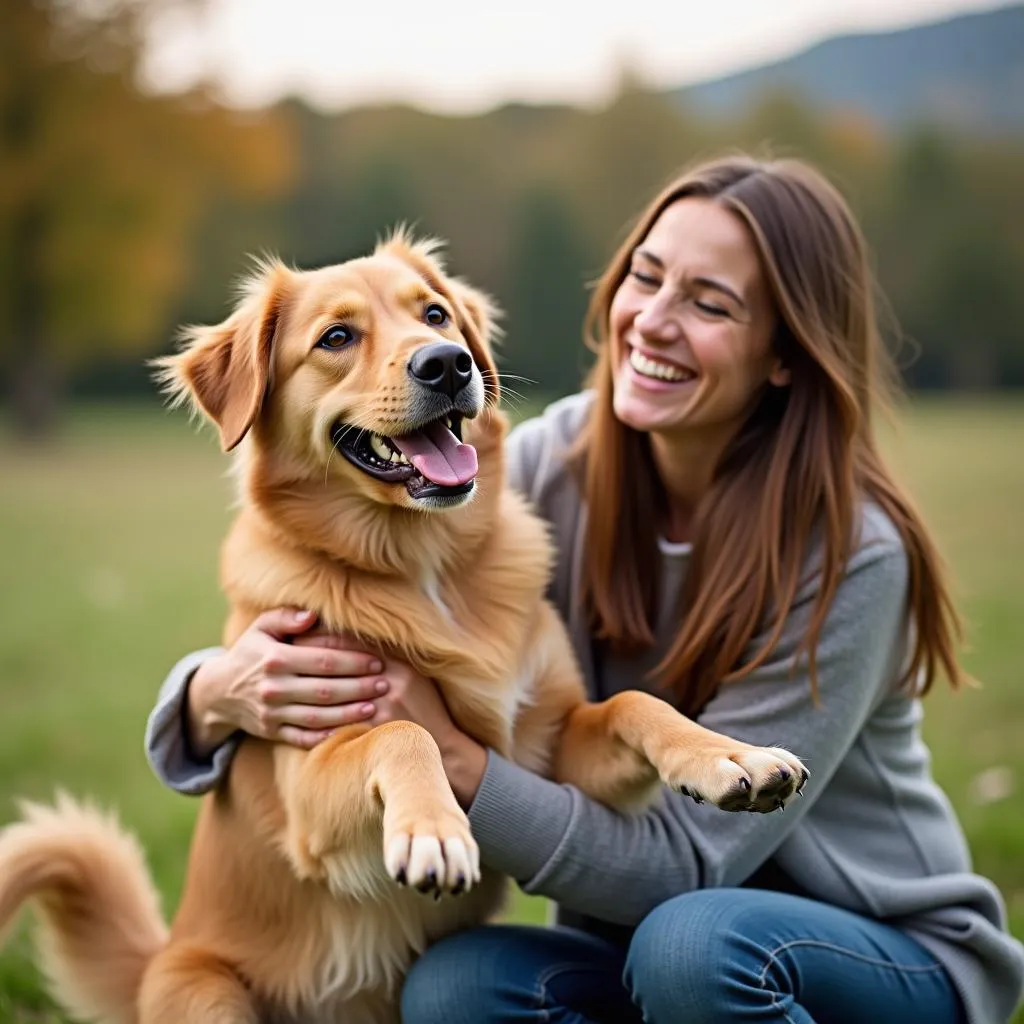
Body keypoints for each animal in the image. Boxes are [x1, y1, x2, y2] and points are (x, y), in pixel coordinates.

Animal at [0, 235, 806, 1024]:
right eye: (336, 337)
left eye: (436, 315)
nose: (446, 363)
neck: (424, 563)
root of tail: (154, 963)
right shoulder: (311, 786)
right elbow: (403, 731)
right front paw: (434, 829)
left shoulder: (549, 750)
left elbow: (635, 705)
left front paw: (730, 756)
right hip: (206, 991)